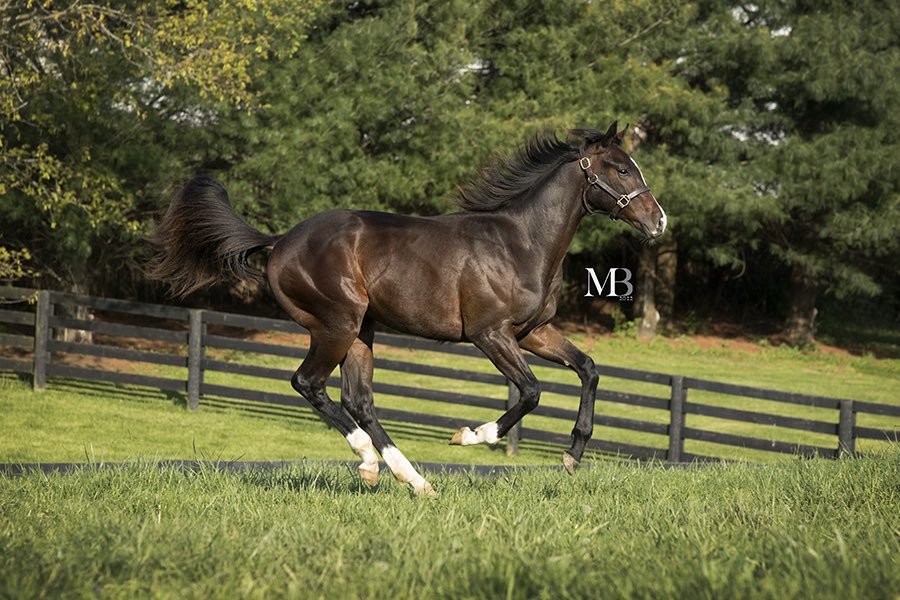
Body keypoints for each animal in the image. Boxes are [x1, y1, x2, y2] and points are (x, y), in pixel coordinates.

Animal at [150, 121, 666, 495]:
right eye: (622, 169)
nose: (658, 220)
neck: (521, 243)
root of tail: (280, 241)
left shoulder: (532, 332)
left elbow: (589, 369)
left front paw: (572, 456)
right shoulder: (490, 334)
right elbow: (531, 392)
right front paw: (470, 436)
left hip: (362, 332)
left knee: (358, 400)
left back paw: (412, 480)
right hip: (337, 324)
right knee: (308, 383)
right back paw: (370, 462)